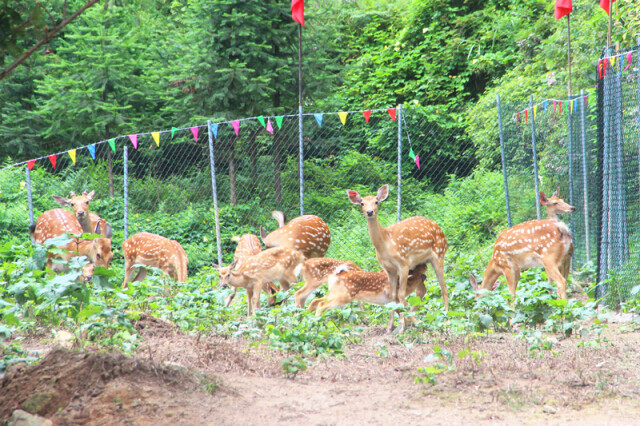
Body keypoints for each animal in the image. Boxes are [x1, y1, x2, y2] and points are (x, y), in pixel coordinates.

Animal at [348, 185, 448, 332]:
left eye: (376, 202)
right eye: (362, 203)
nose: (370, 212)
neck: (385, 243)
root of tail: (440, 229)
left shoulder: (404, 263)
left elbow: (400, 294)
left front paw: (402, 325)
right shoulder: (389, 269)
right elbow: (392, 295)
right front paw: (390, 326)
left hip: (439, 255)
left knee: (443, 287)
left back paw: (445, 316)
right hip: (421, 264)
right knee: (422, 289)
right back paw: (413, 316)